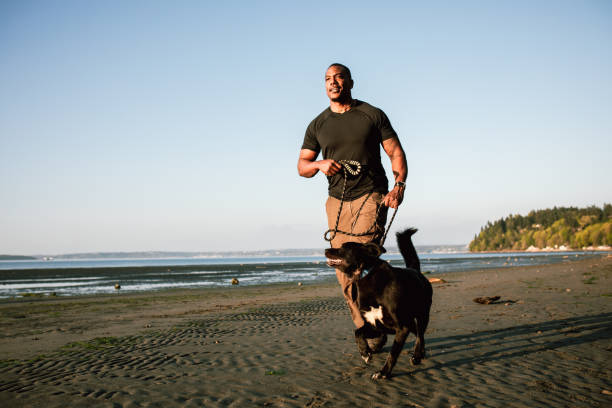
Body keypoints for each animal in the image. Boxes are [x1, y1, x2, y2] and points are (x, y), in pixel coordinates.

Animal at [326, 228, 430, 380]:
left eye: (344, 248)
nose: (326, 249)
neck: (366, 275)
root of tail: (415, 271)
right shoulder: (374, 325)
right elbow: (357, 332)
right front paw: (365, 353)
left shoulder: (402, 328)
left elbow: (393, 353)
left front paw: (383, 373)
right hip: (410, 322)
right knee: (418, 334)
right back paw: (420, 354)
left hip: (422, 315)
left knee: (420, 335)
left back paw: (417, 356)